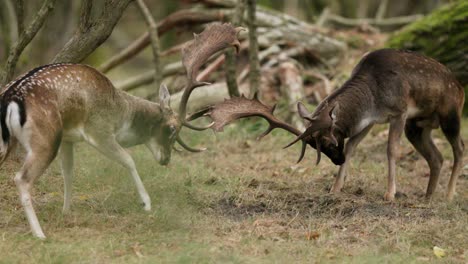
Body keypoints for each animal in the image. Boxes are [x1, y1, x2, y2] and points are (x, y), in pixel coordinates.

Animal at [0, 22, 241, 238]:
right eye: (172, 129)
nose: (165, 160)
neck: (121, 112)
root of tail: (11, 97)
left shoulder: (68, 138)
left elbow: (68, 171)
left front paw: (66, 212)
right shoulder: (99, 130)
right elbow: (128, 159)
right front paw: (146, 203)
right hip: (45, 138)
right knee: (21, 178)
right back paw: (39, 234)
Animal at [208, 48, 464, 202]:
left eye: (329, 142)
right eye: (315, 147)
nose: (337, 161)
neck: (373, 95)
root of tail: (460, 86)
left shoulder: (399, 111)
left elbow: (391, 150)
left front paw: (389, 193)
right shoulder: (370, 121)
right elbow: (351, 146)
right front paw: (335, 188)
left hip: (450, 114)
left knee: (459, 147)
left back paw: (449, 194)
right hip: (418, 126)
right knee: (437, 157)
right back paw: (428, 196)